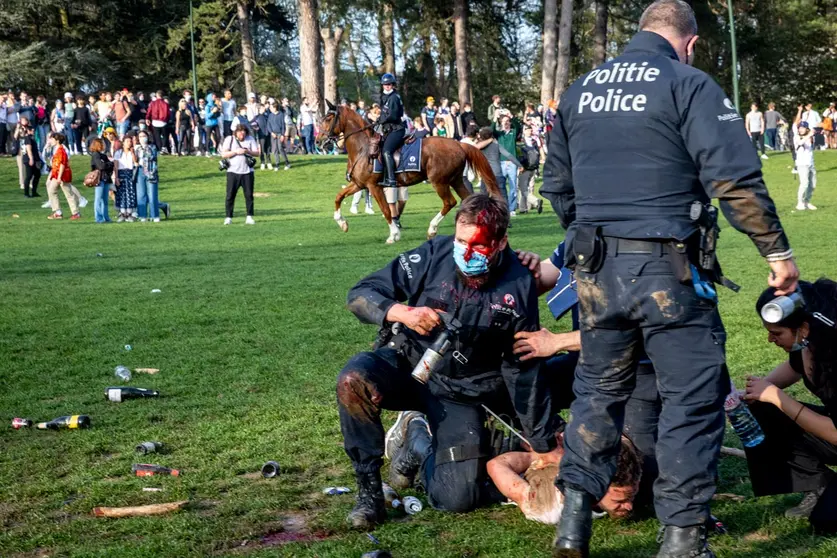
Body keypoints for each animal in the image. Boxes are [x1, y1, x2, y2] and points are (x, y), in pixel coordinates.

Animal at [320, 101, 502, 245]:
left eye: (328, 119)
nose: (319, 141)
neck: (362, 148)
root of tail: (459, 144)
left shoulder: (373, 186)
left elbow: (386, 210)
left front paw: (394, 235)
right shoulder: (359, 184)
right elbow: (338, 197)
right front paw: (342, 223)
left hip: (440, 182)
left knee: (449, 202)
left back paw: (432, 229)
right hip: (455, 180)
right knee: (467, 200)